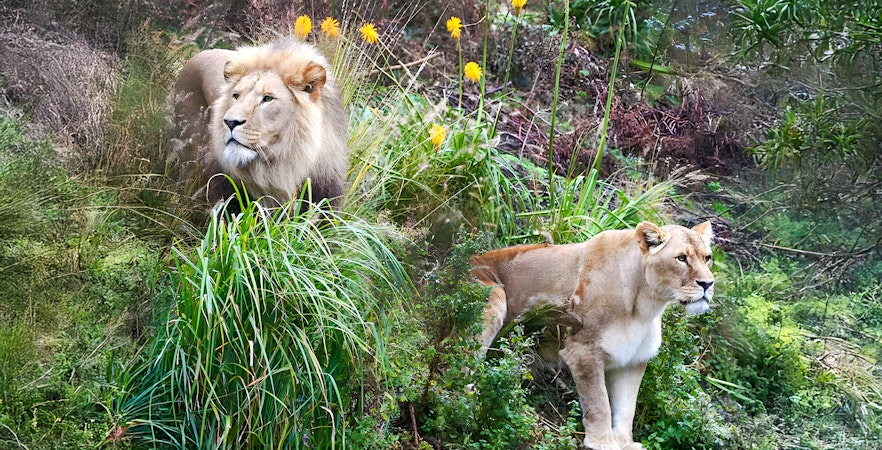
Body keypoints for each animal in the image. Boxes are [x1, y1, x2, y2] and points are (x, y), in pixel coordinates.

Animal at [470, 221, 714, 450]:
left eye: (707, 258)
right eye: (681, 258)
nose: (708, 284)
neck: (644, 307)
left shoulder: (633, 361)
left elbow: (627, 407)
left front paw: (625, 443)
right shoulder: (583, 350)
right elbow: (599, 403)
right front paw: (603, 443)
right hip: (495, 296)